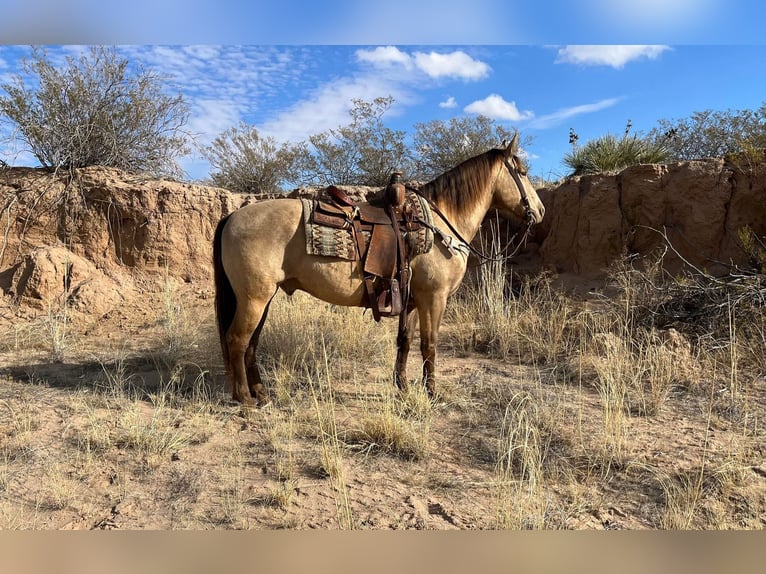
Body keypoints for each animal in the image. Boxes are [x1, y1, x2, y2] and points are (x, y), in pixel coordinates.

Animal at [212, 133, 544, 408]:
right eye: (523, 172)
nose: (540, 211)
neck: (439, 223)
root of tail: (232, 216)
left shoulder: (412, 300)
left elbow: (405, 342)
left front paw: (403, 387)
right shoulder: (433, 298)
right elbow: (430, 345)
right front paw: (431, 393)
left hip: (262, 298)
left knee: (251, 343)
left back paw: (260, 392)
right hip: (254, 298)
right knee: (237, 340)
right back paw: (244, 398)